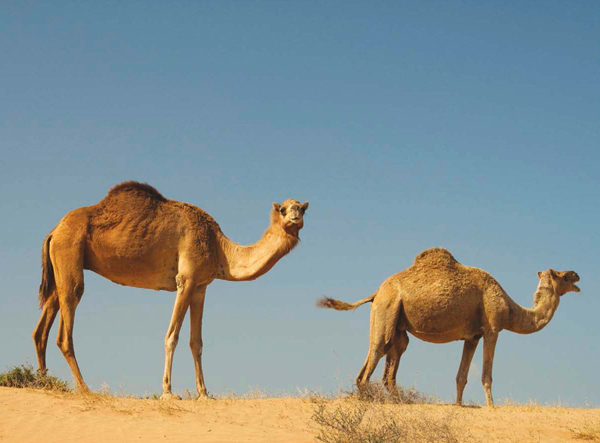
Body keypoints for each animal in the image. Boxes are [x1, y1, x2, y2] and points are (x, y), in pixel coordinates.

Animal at [31, 180, 310, 398]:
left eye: (302, 208)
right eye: (283, 209)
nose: (295, 216)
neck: (219, 247)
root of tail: (54, 230)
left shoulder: (201, 286)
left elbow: (196, 342)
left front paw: (204, 393)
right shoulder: (185, 280)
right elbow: (172, 337)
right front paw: (167, 391)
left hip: (61, 266)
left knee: (41, 329)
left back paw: (45, 383)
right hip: (70, 253)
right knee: (65, 329)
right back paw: (85, 389)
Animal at [316, 248, 580, 408]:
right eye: (565, 275)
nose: (578, 277)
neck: (509, 308)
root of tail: (377, 292)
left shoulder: (472, 336)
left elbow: (461, 376)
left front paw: (459, 405)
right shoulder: (492, 329)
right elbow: (486, 375)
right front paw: (491, 406)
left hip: (397, 323)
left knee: (391, 360)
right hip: (387, 308)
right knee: (374, 355)